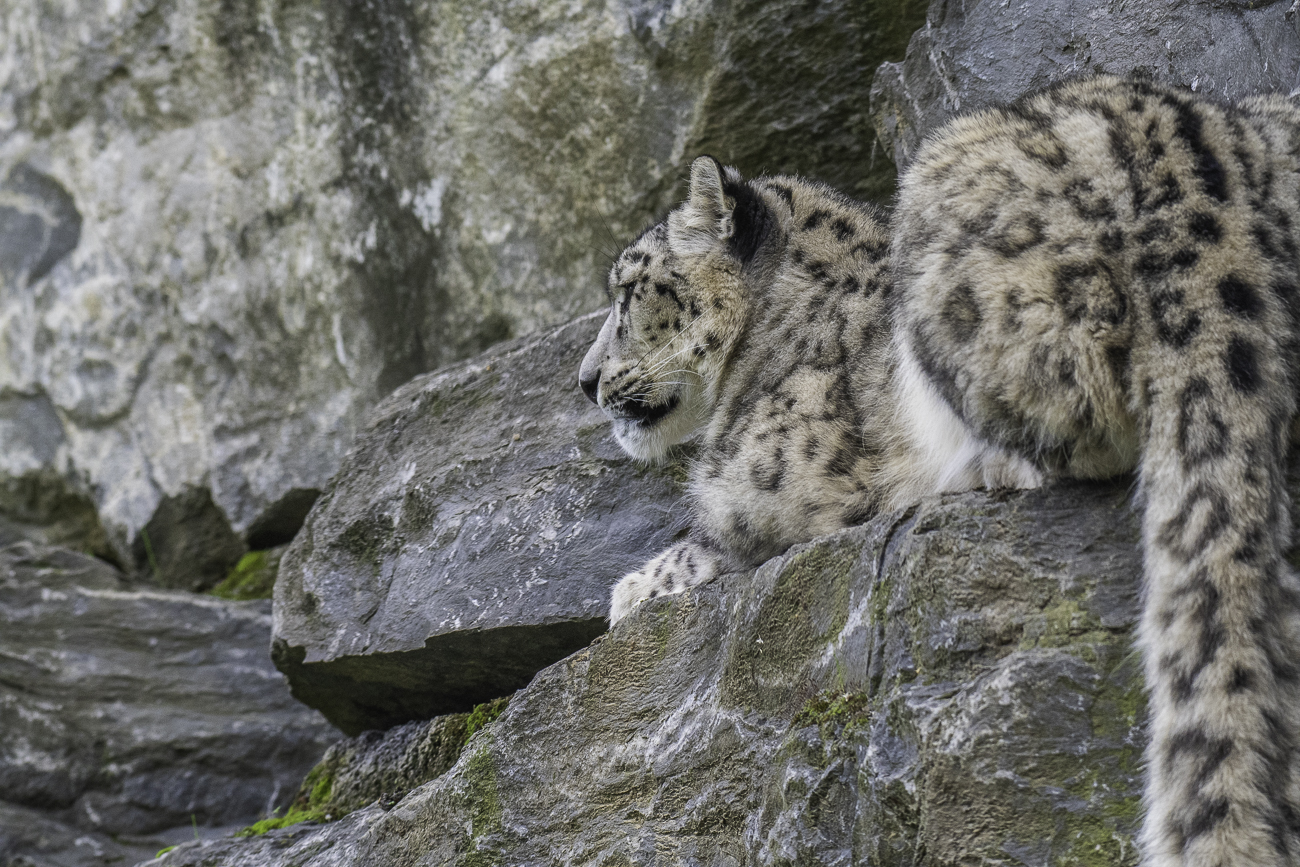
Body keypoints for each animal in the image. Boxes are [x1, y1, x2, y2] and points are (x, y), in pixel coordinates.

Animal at [579, 75, 1300, 867]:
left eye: (628, 291)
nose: (584, 381)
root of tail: (1214, 223)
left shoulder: (778, 491)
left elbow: (719, 537)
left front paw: (629, 591)